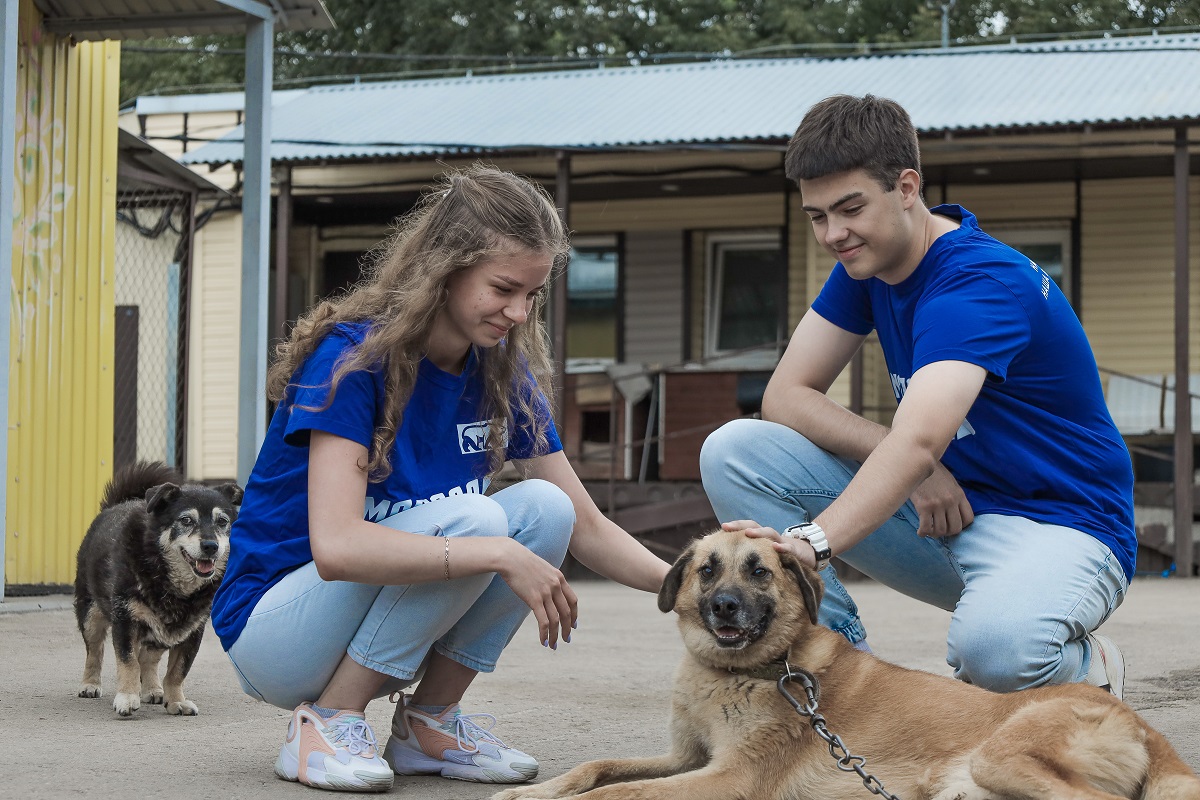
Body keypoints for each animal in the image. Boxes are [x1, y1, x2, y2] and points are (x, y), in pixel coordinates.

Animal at [72, 462, 241, 719]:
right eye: (186, 520)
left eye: (222, 521)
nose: (211, 546)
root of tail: (116, 505)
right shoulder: (125, 621)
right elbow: (128, 662)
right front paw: (127, 697)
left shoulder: (191, 632)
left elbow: (177, 671)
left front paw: (176, 701)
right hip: (91, 615)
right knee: (94, 651)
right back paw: (90, 684)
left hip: (164, 632)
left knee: (149, 659)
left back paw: (152, 689)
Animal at [489, 532, 1200, 800]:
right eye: (707, 569)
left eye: (760, 571)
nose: (722, 607)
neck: (741, 672)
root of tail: (1137, 721)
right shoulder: (686, 758)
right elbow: (598, 767)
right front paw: (533, 792)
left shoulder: (726, 777)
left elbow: (618, 791)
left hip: (1006, 756)